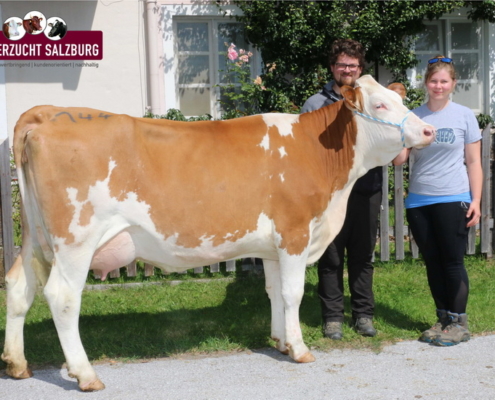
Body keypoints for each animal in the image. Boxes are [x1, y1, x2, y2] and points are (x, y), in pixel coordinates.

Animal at [0, 75, 434, 390]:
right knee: (62, 297)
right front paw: (299, 349)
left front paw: (280, 341)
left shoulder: (272, 245)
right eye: (381, 105)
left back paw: (18, 364)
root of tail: (49, 112)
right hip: (76, 239)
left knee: (20, 286)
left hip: (36, 237)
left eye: (400, 101)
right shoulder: (294, 233)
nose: (428, 131)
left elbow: (273, 291)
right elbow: (292, 293)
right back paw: (86, 374)